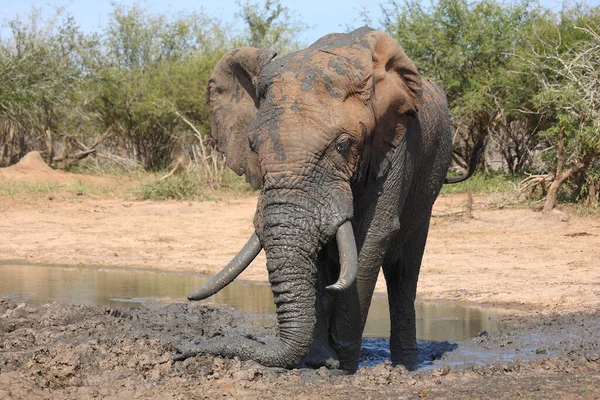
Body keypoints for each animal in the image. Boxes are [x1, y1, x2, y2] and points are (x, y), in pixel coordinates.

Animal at [178, 27, 482, 372]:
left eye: (344, 145)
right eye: (253, 146)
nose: (182, 350)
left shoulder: (397, 143)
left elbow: (370, 239)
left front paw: (341, 368)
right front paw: (319, 361)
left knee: (404, 271)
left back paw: (405, 365)